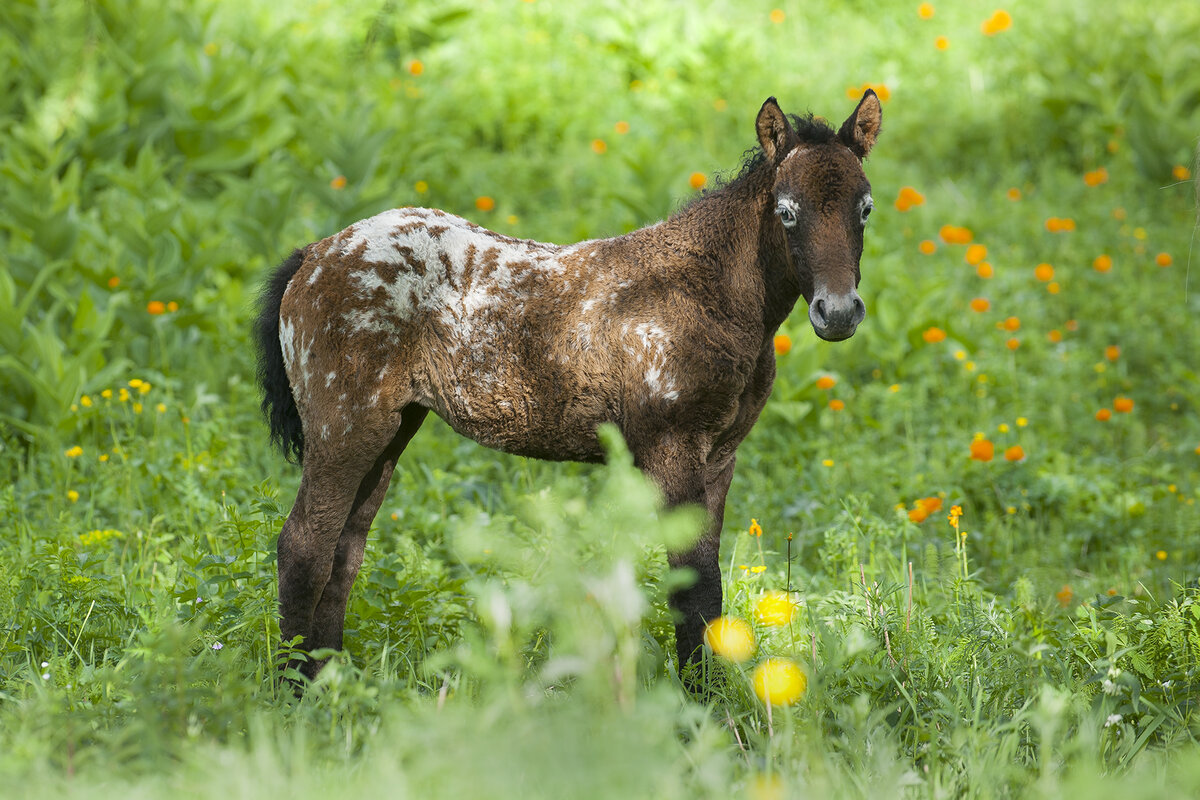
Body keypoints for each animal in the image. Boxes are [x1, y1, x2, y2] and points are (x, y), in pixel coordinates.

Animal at [255, 92, 883, 681]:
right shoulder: (670, 449)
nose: (838, 312)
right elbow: (692, 584)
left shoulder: (720, 457)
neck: (703, 291)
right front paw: (702, 705)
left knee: (344, 551)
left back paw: (329, 680)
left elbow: (707, 585)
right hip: (345, 426)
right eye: (787, 212)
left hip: (391, 430)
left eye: (866, 208)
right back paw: (296, 689)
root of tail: (313, 255)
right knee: (304, 547)